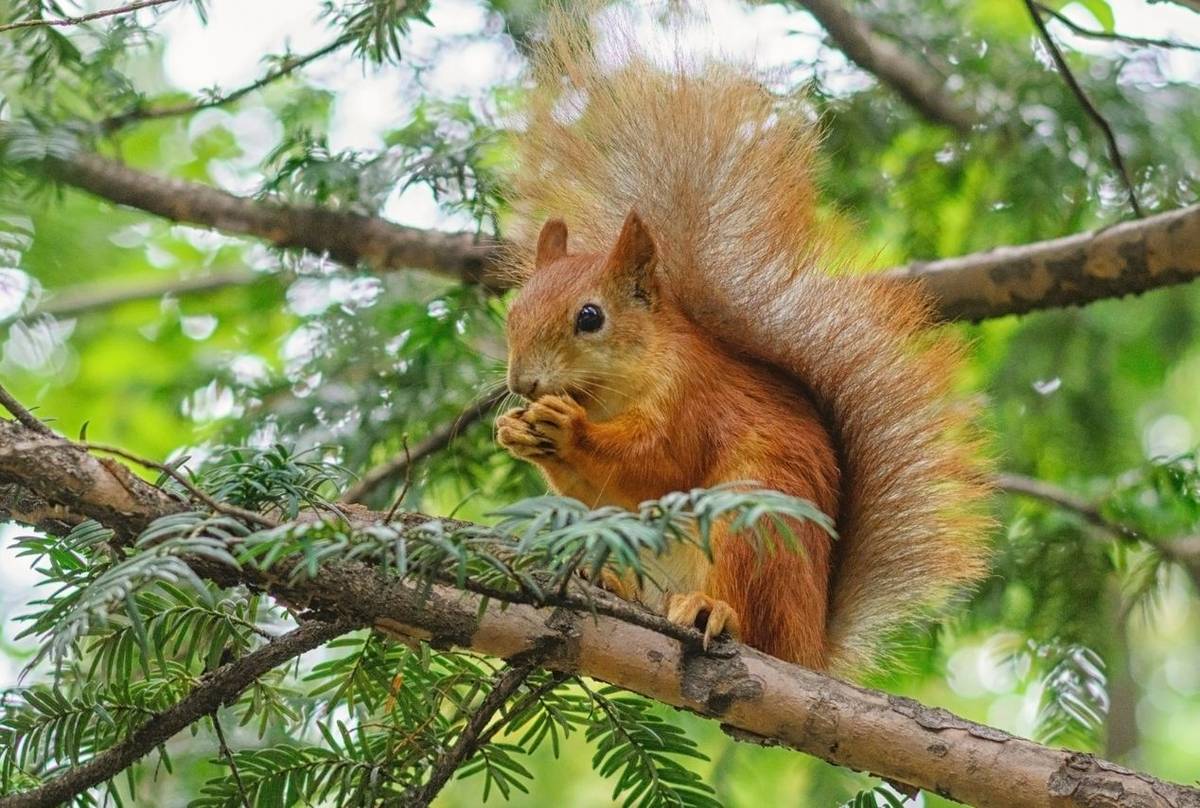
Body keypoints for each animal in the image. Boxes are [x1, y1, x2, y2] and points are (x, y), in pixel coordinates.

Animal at [492, 6, 988, 672]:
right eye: (513, 314)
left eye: (590, 318)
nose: (522, 383)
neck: (616, 387)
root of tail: (809, 644)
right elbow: (600, 495)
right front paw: (515, 431)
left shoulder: (693, 400)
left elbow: (658, 461)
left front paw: (566, 429)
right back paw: (612, 582)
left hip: (752, 529)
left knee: (751, 623)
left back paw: (711, 611)